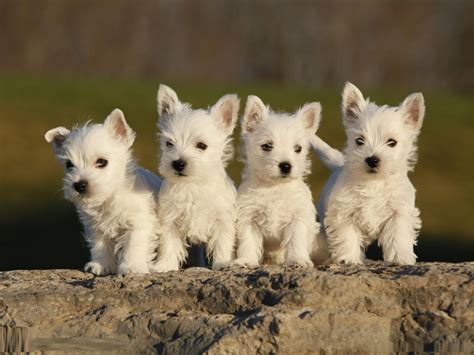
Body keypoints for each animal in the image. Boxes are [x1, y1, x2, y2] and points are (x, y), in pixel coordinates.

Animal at [45, 108, 162, 276]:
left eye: (102, 162)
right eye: (69, 164)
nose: (79, 185)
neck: (109, 197)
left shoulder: (139, 222)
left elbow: (134, 244)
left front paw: (131, 267)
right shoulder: (95, 226)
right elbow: (100, 245)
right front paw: (101, 265)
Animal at [152, 84, 239, 272]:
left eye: (202, 145)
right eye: (169, 143)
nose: (178, 163)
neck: (192, 185)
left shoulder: (222, 220)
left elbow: (222, 244)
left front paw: (222, 263)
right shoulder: (170, 220)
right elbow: (168, 245)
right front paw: (164, 266)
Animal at [232, 95, 326, 268]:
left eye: (298, 148)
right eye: (267, 146)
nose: (286, 165)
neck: (275, 187)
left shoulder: (297, 218)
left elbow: (296, 240)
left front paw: (298, 260)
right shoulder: (249, 218)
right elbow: (248, 242)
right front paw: (246, 261)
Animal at [312, 83, 426, 266]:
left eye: (392, 142)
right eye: (359, 140)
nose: (372, 159)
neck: (374, 182)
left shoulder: (398, 212)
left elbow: (398, 236)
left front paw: (400, 257)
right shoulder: (344, 212)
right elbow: (347, 236)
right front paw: (349, 258)